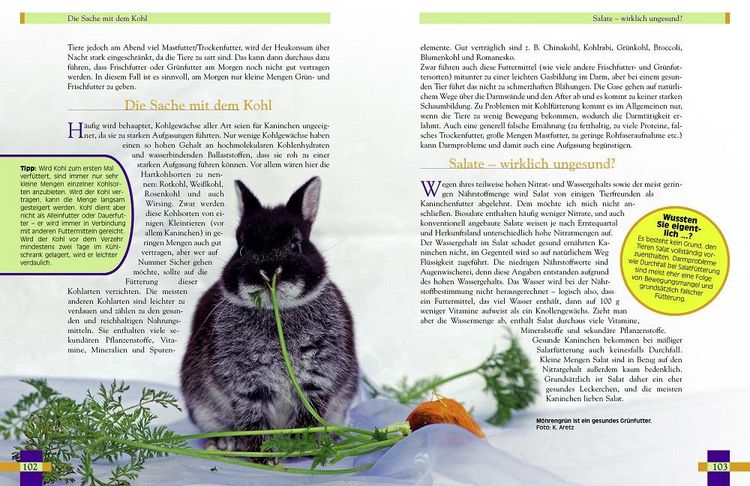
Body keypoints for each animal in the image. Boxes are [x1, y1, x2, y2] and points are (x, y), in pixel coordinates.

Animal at [180, 176, 359, 456]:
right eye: (242, 249)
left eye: (296, 245)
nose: (267, 272)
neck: (276, 312)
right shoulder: (247, 385)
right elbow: (253, 419)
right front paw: (264, 455)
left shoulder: (317, 378)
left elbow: (309, 412)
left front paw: (301, 444)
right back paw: (225, 442)